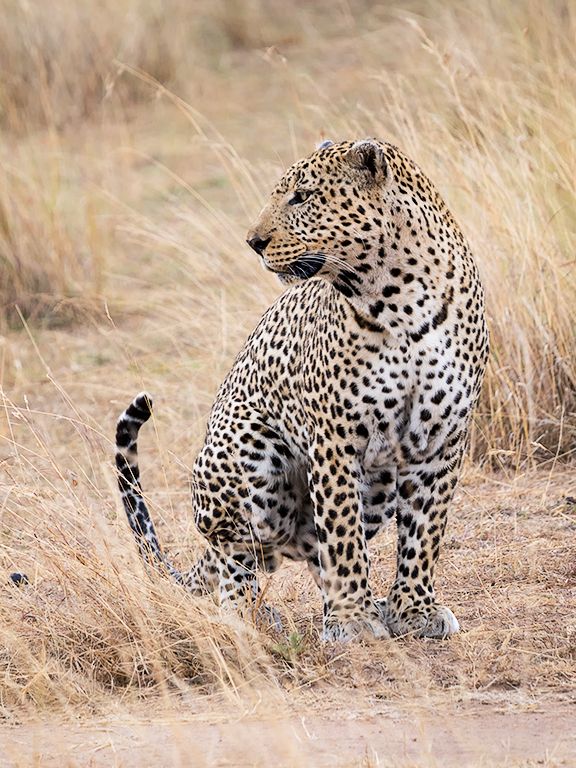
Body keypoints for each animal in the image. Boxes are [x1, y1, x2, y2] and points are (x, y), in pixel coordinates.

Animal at [115, 138, 489, 642]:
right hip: (250, 462)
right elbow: (343, 532)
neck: (402, 300)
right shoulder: (334, 437)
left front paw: (413, 610)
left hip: (379, 488)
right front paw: (351, 619)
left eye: (302, 197)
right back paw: (251, 616)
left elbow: (423, 531)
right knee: (238, 557)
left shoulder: (442, 439)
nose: (253, 242)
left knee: (312, 548)